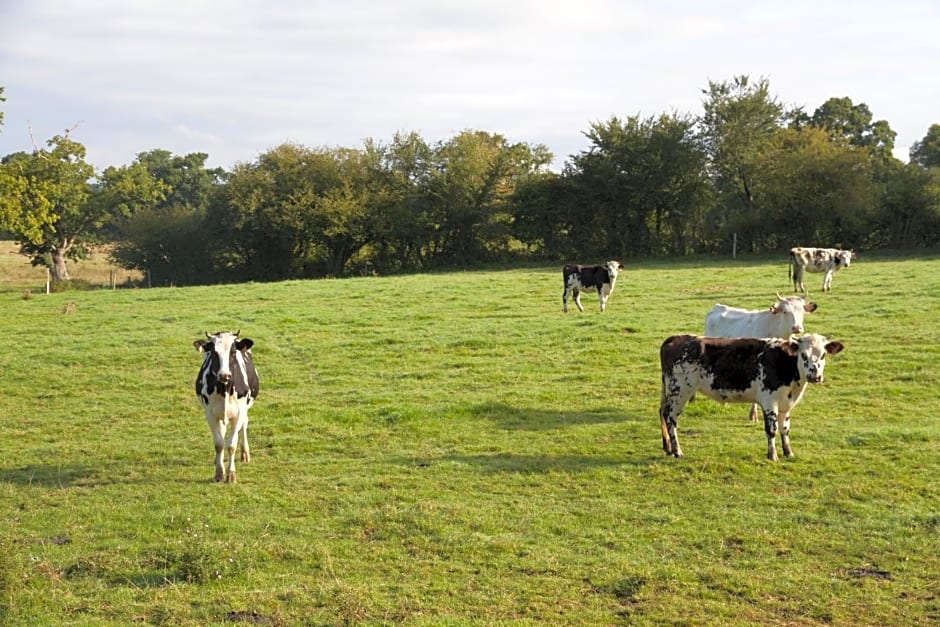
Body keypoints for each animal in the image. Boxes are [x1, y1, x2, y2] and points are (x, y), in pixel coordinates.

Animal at [195, 332, 258, 484]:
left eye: (233, 352)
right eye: (213, 352)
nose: (224, 375)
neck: (224, 390)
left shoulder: (239, 412)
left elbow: (231, 445)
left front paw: (231, 474)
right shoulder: (210, 413)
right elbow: (219, 443)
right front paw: (219, 472)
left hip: (245, 408)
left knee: (244, 425)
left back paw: (245, 453)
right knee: (222, 433)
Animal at [656, 334, 848, 462]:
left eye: (823, 355)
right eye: (803, 355)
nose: (815, 375)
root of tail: (675, 338)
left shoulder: (785, 404)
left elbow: (785, 429)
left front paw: (788, 452)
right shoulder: (769, 402)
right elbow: (772, 429)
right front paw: (773, 455)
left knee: (663, 413)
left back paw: (668, 448)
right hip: (679, 392)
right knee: (671, 418)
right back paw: (677, 451)